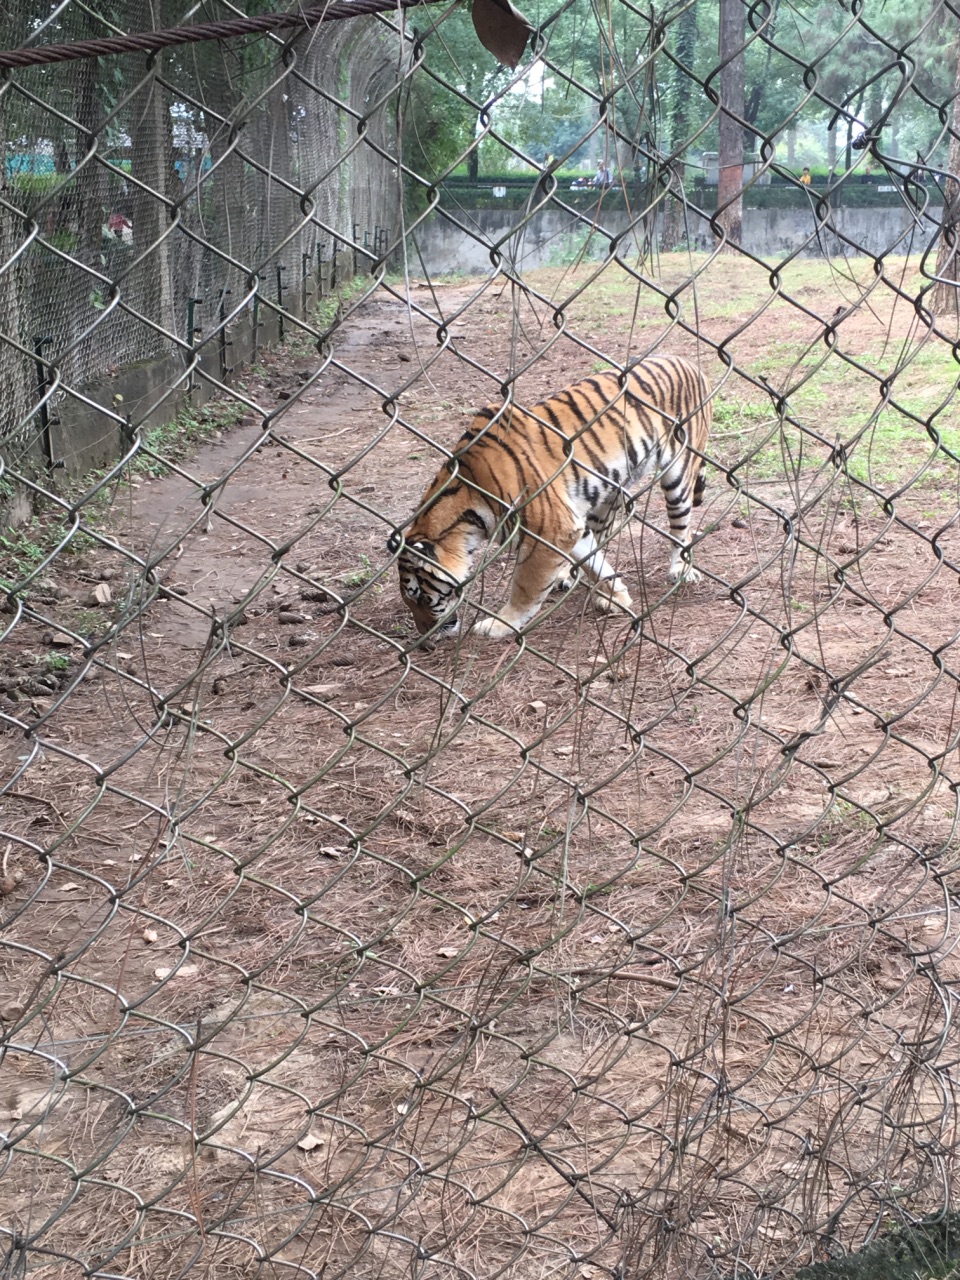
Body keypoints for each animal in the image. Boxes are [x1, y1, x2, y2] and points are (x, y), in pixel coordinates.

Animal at [389, 353, 716, 640]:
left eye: (419, 596)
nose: (425, 636)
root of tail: (690, 363)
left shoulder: (549, 529)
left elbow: (525, 587)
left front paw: (498, 625)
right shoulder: (569, 525)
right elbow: (594, 561)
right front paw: (616, 597)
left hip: (679, 473)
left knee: (682, 527)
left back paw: (680, 569)